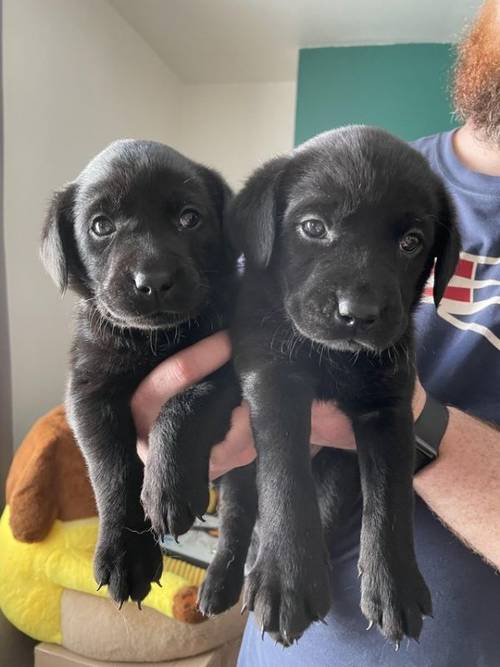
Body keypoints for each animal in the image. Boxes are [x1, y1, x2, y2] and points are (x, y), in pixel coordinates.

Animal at [40, 142, 244, 612]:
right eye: (100, 226)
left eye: (189, 218)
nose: (153, 281)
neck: (153, 341)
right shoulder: (88, 393)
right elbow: (112, 470)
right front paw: (125, 555)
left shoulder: (231, 364)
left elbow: (186, 403)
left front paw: (168, 488)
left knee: (241, 519)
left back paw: (220, 586)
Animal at [210, 128, 458, 648]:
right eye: (312, 227)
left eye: (411, 242)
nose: (358, 313)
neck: (334, 358)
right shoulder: (273, 378)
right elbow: (285, 478)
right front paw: (285, 579)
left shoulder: (390, 405)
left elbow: (390, 496)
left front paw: (394, 584)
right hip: (238, 468)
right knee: (239, 515)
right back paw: (227, 578)